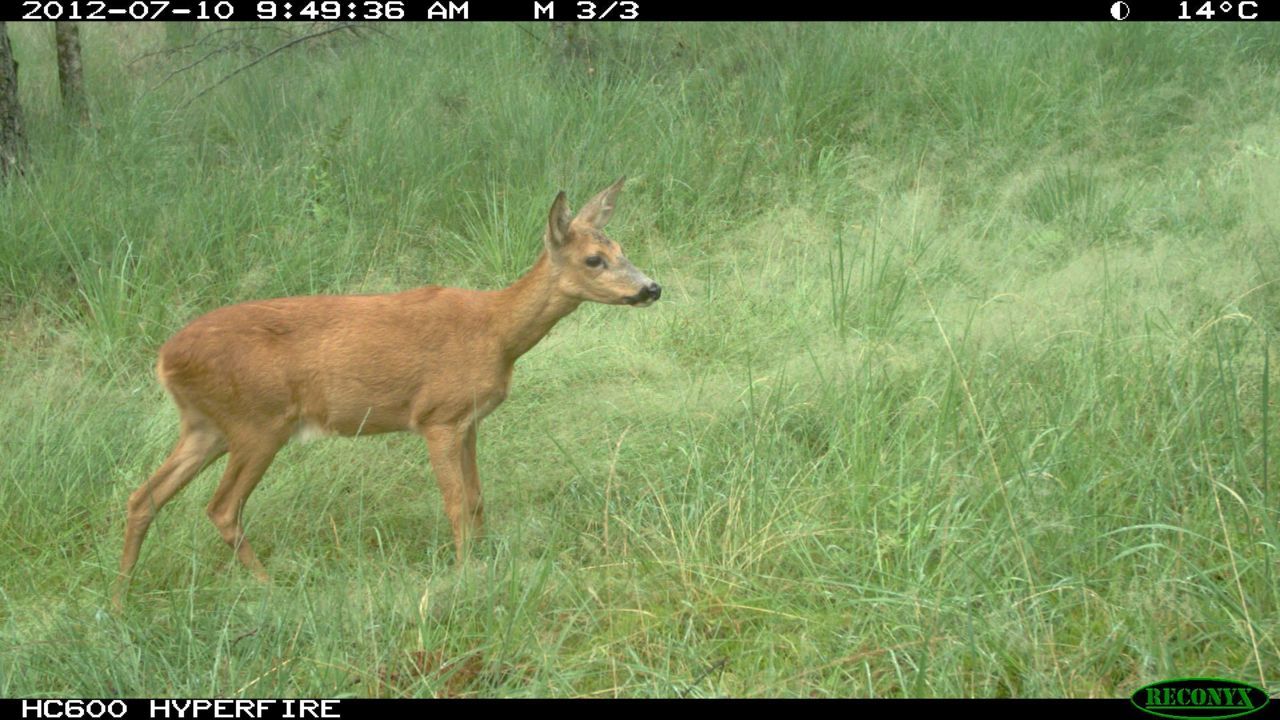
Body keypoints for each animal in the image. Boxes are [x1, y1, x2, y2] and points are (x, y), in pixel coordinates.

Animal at [112, 175, 660, 604]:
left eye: (622, 250)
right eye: (594, 259)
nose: (651, 288)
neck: (496, 332)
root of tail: (164, 359)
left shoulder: (468, 420)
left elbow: (478, 498)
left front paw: (488, 559)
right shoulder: (437, 415)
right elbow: (456, 503)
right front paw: (465, 575)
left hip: (206, 426)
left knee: (143, 496)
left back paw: (120, 600)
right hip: (257, 423)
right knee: (221, 508)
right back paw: (270, 587)